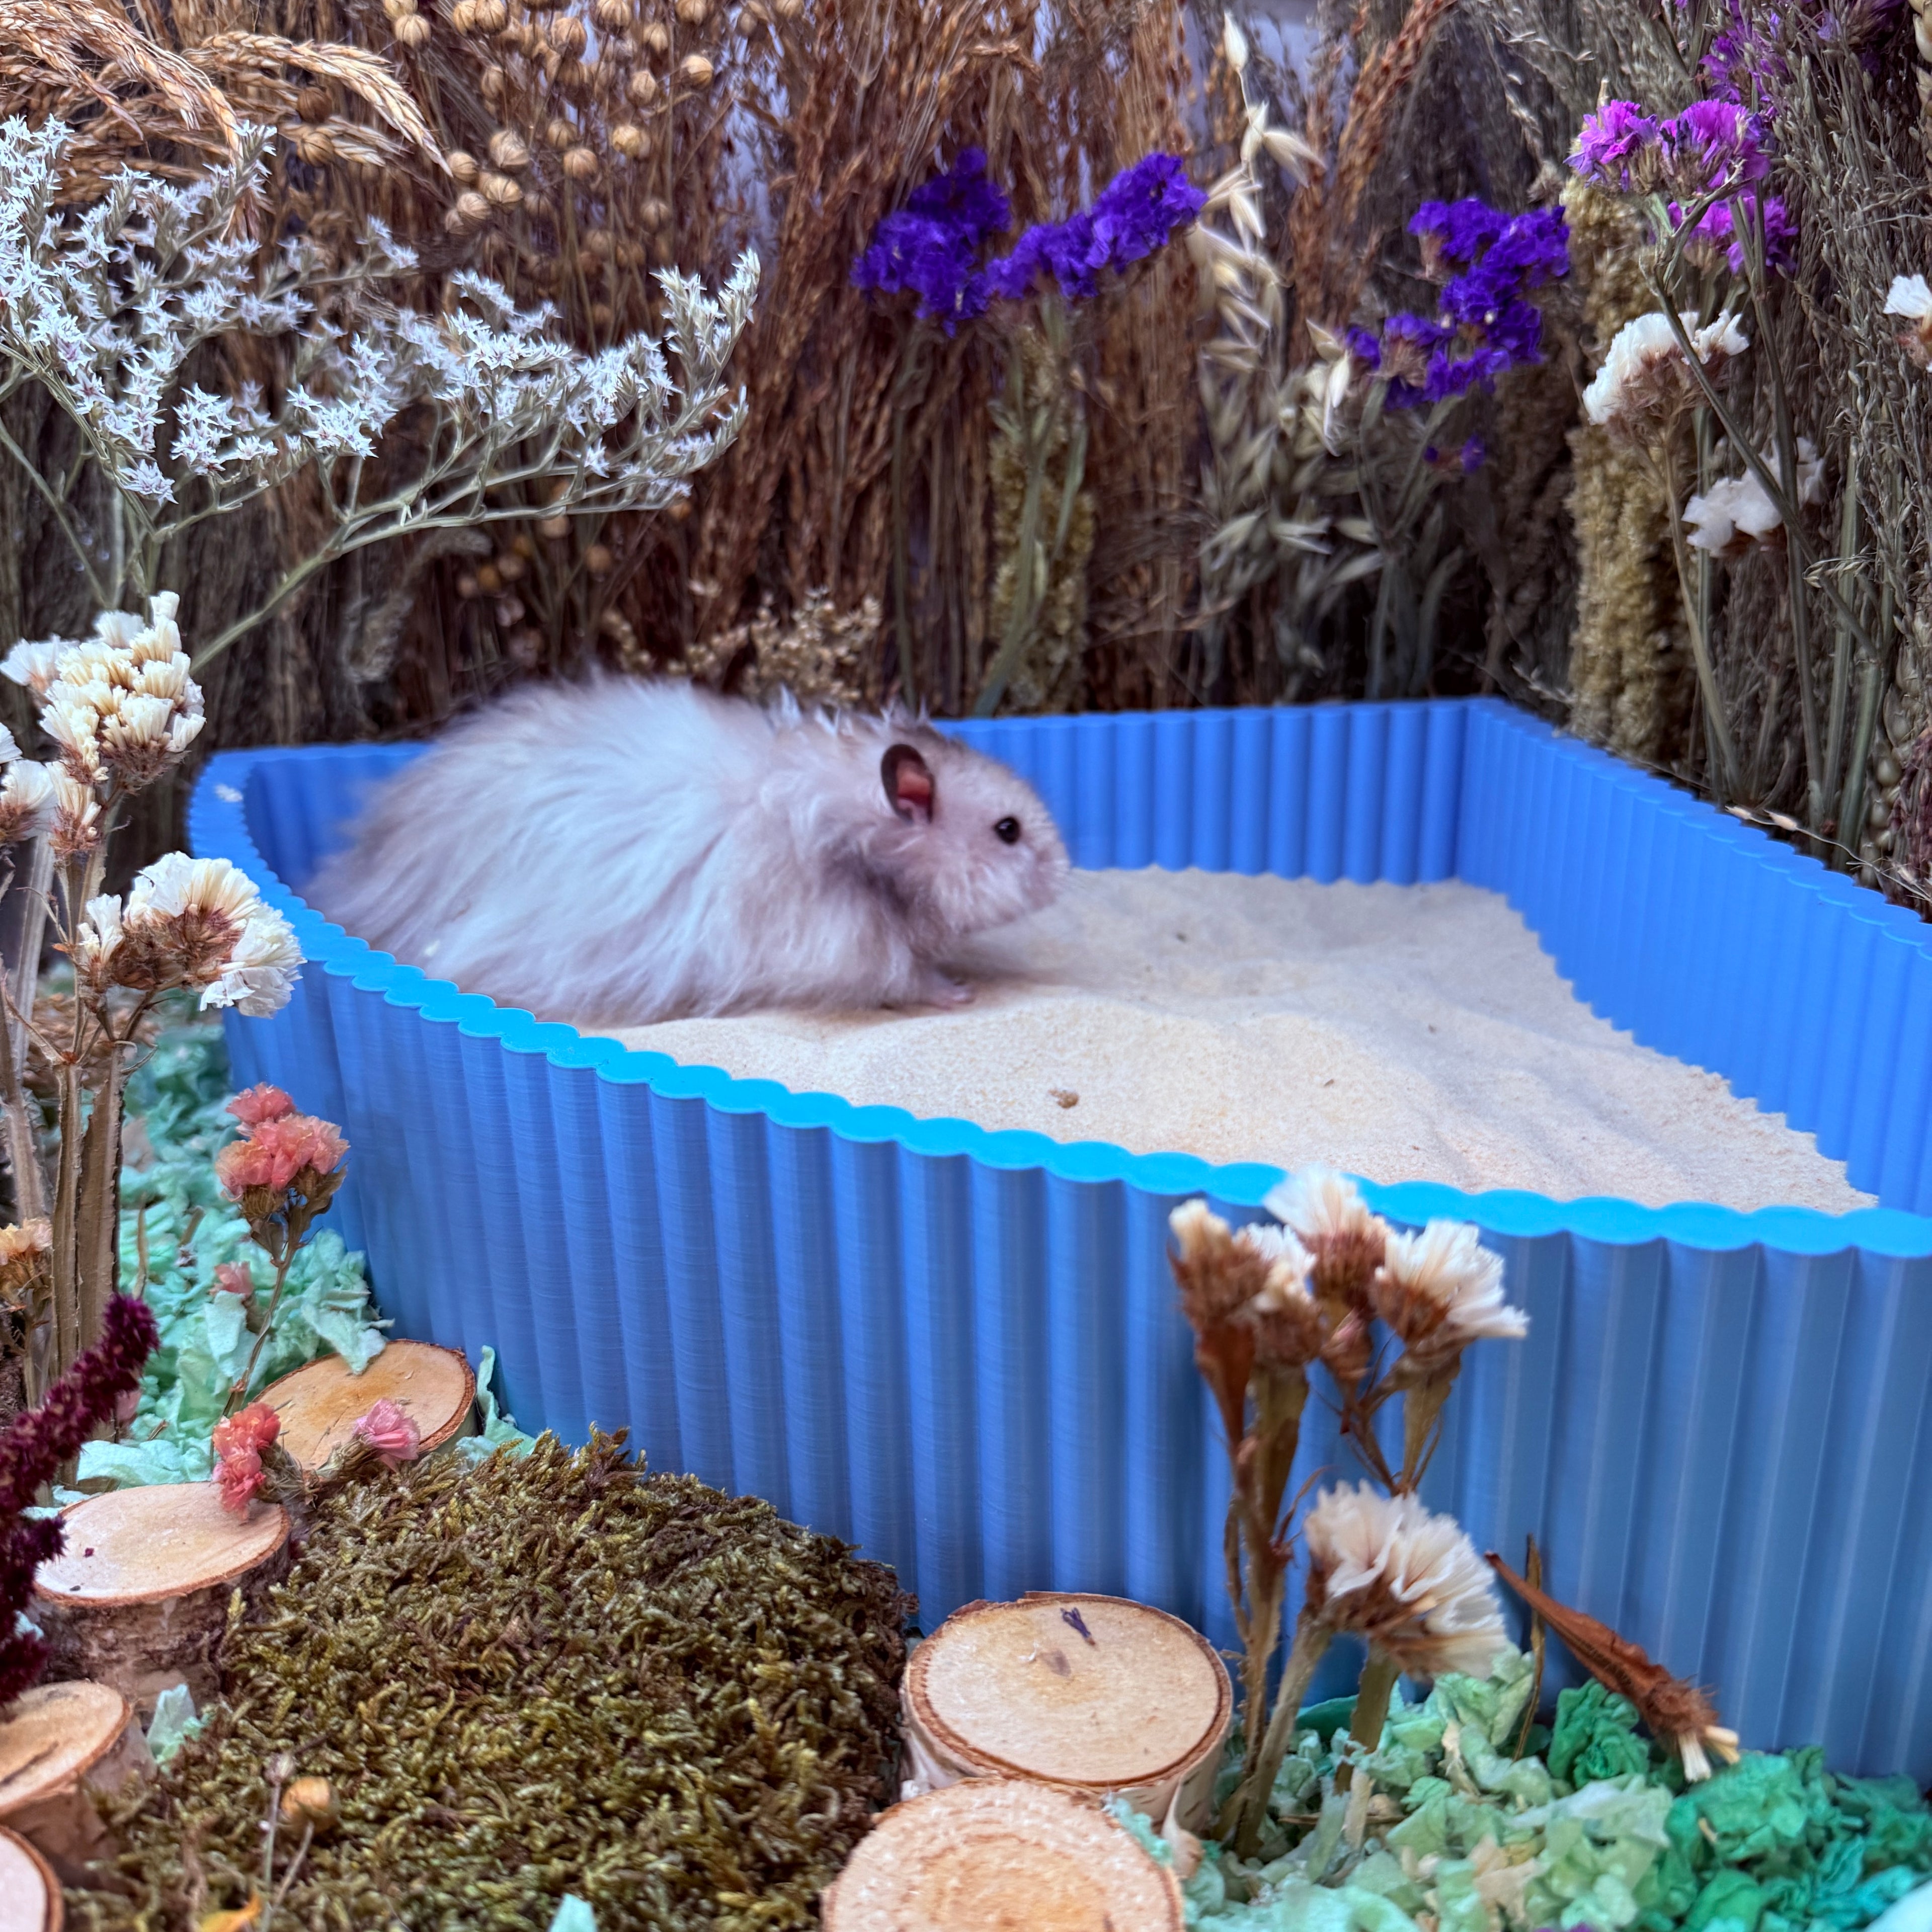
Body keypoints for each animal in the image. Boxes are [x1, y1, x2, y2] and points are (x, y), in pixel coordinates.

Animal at [306, 675, 1070, 1024]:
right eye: (1008, 830)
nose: (1065, 876)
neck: (851, 843)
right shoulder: (847, 946)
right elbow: (911, 978)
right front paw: (962, 991)